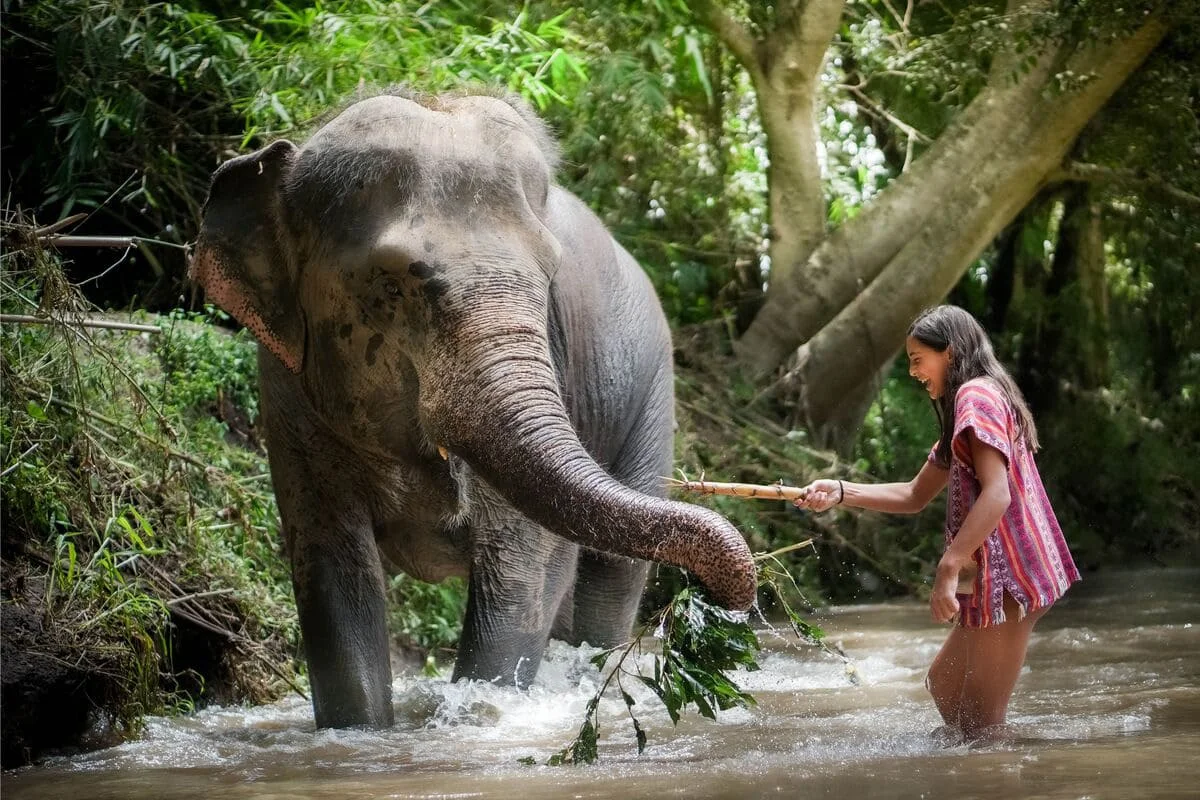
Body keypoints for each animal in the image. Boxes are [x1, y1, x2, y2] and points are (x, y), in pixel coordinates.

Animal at [190, 88, 757, 730]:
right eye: (391, 286)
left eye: (550, 277)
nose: (725, 600)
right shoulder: (287, 387)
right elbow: (332, 570)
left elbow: (519, 573)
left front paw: (482, 713)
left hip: (651, 394)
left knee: (608, 581)